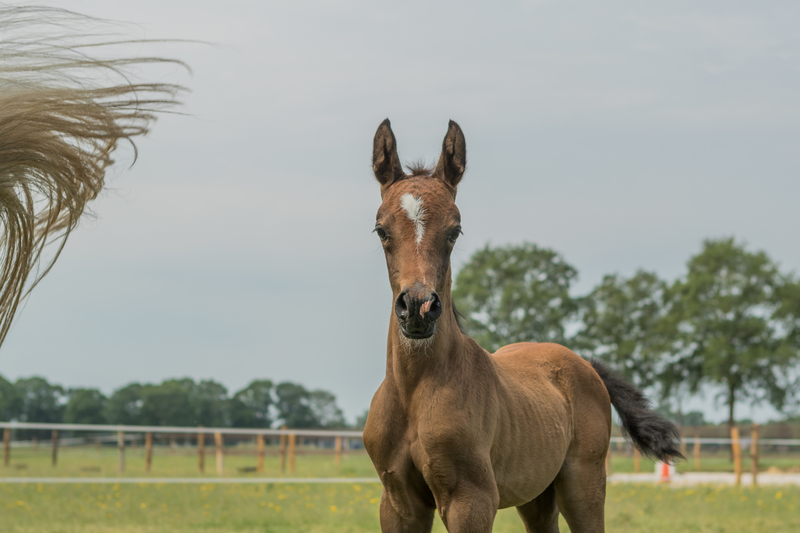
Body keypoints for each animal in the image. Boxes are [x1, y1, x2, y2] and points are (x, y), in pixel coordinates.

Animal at [362, 119, 683, 532]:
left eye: (455, 230)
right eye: (381, 230)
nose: (418, 308)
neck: (415, 392)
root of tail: (585, 365)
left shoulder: (471, 501)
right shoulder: (399, 503)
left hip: (584, 485)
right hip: (537, 496)